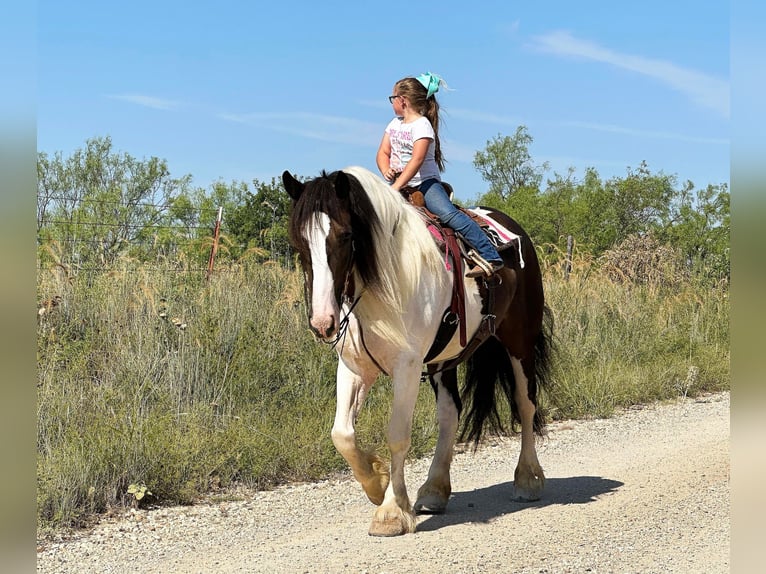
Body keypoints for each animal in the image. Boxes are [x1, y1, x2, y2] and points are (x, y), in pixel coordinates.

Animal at [282, 166, 552, 540]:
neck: (382, 283)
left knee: (526, 405)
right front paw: (376, 482)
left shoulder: (406, 368)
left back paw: (527, 478)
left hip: (519, 344)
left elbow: (397, 434)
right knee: (450, 413)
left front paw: (391, 512)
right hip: (444, 359)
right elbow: (342, 434)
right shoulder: (354, 367)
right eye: (299, 241)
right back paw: (434, 490)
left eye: (346, 235)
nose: (323, 323)